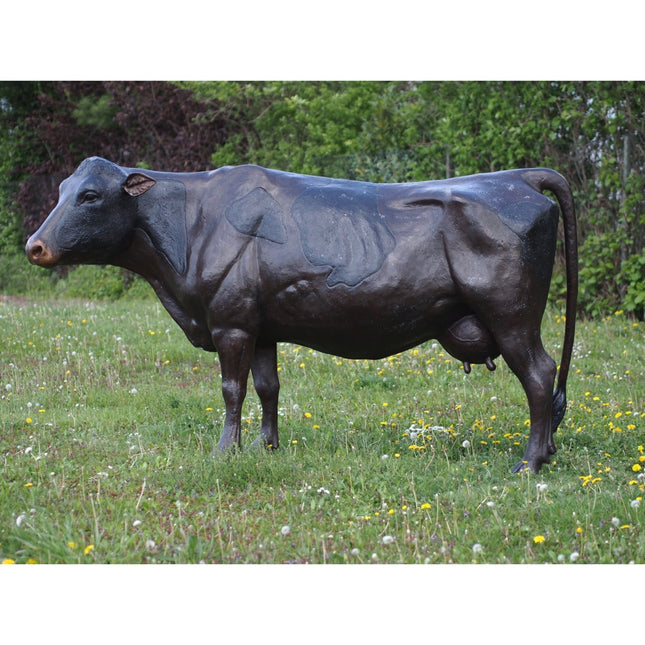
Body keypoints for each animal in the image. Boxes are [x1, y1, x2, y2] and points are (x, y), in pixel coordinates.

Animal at [26, 157, 578, 474]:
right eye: (62, 191)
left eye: (90, 195)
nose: (35, 246)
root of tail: (517, 176)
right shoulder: (261, 326)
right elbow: (268, 386)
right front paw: (267, 447)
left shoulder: (229, 322)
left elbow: (232, 389)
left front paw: (225, 452)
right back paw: (547, 452)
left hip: (512, 315)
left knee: (539, 374)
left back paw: (530, 462)